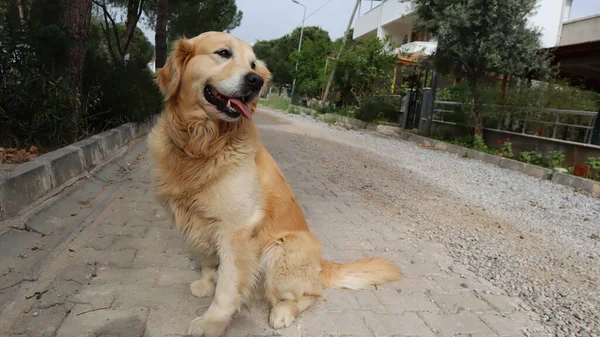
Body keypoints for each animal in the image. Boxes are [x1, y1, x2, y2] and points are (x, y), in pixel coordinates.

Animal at [146, 32, 404, 336]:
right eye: (223, 53)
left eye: (254, 65)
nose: (255, 81)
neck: (201, 144)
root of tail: (320, 263)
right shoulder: (196, 219)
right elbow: (209, 263)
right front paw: (206, 284)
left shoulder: (237, 229)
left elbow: (228, 286)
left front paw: (212, 322)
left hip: (280, 250)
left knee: (313, 293)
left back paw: (283, 312)